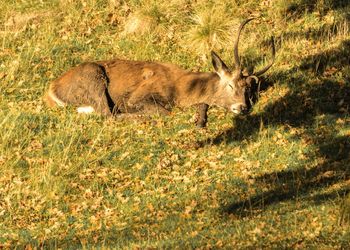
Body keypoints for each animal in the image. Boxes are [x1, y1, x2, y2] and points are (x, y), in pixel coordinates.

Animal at [43, 18, 274, 127]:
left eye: (249, 91)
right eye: (230, 84)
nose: (242, 107)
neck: (180, 89)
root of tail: (51, 92)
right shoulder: (138, 96)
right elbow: (165, 111)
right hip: (94, 76)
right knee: (108, 114)